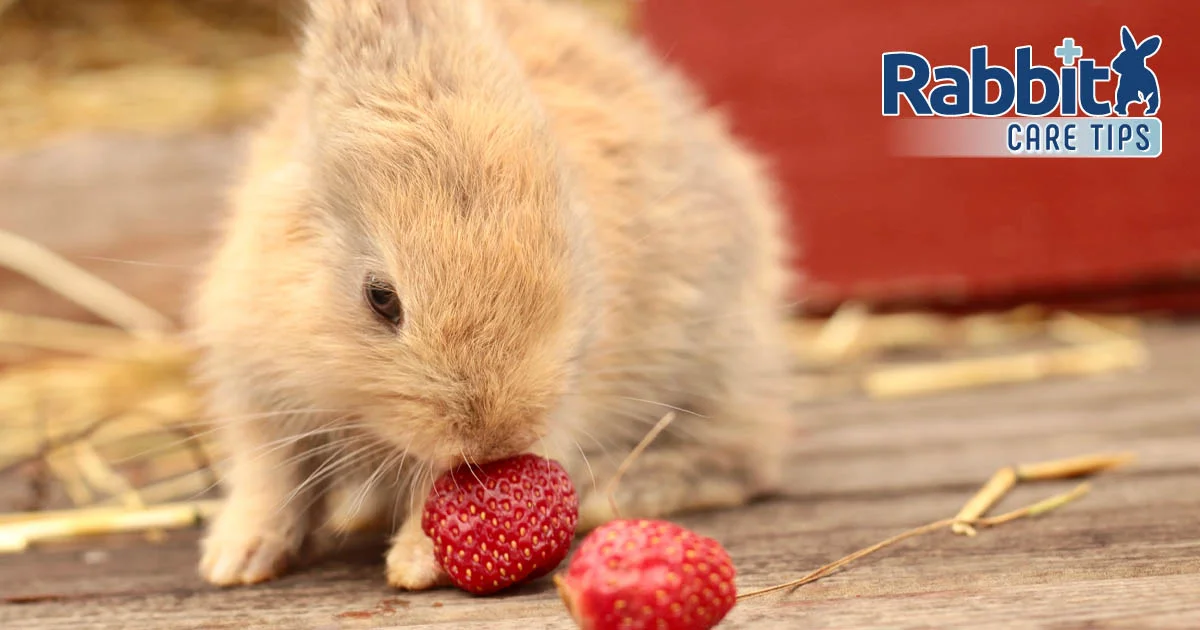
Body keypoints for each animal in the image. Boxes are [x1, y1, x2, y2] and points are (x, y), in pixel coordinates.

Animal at [189, 0, 796, 590]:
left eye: (567, 249)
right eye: (381, 298)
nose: (495, 441)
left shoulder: (570, 397)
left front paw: (415, 563)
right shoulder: (259, 392)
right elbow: (270, 477)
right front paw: (236, 560)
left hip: (716, 364)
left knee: (749, 457)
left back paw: (620, 491)